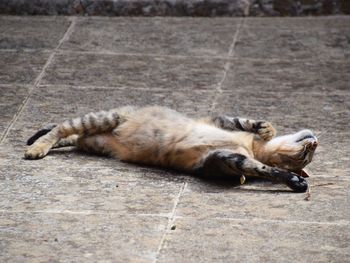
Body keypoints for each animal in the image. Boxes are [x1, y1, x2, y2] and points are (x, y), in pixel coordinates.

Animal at [24, 105, 318, 194]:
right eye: (307, 154)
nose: (315, 143)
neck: (253, 148)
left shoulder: (222, 159)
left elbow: (261, 169)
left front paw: (290, 179)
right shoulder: (217, 121)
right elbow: (241, 120)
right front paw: (266, 128)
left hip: (94, 141)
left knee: (70, 136)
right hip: (106, 117)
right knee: (61, 127)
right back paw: (36, 147)